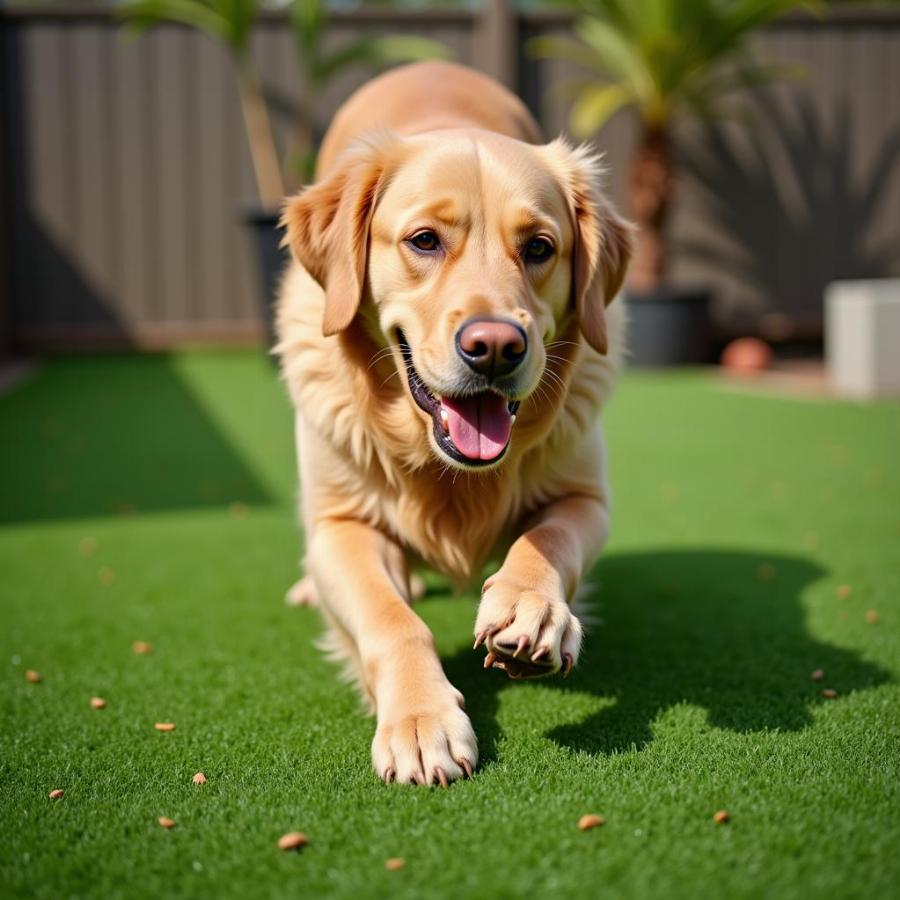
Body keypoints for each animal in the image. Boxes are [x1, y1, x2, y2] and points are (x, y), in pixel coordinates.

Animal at [278, 59, 628, 784]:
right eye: (424, 241)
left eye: (540, 247)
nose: (494, 347)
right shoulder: (341, 527)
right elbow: (391, 618)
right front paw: (421, 719)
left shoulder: (586, 499)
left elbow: (548, 540)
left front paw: (533, 608)